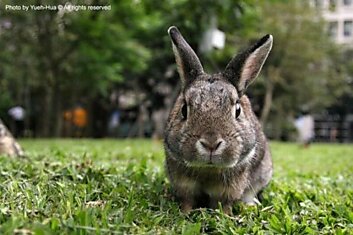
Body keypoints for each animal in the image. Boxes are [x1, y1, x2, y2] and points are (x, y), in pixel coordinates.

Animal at [164, 26, 272, 215]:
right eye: (184, 110)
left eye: (237, 110)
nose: (211, 143)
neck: (208, 170)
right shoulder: (183, 184)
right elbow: (187, 200)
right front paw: (184, 214)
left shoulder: (230, 188)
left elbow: (224, 203)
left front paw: (225, 216)